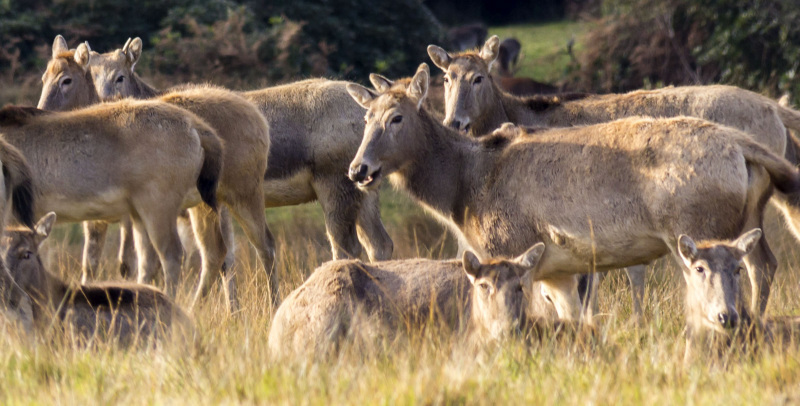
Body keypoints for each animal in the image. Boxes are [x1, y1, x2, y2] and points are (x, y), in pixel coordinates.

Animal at [346, 65, 800, 322]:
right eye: (365, 118)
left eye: (396, 117)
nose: (358, 169)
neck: (462, 190)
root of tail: (742, 145)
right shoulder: (559, 268)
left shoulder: (513, 249)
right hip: (748, 218)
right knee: (764, 264)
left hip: (696, 232)